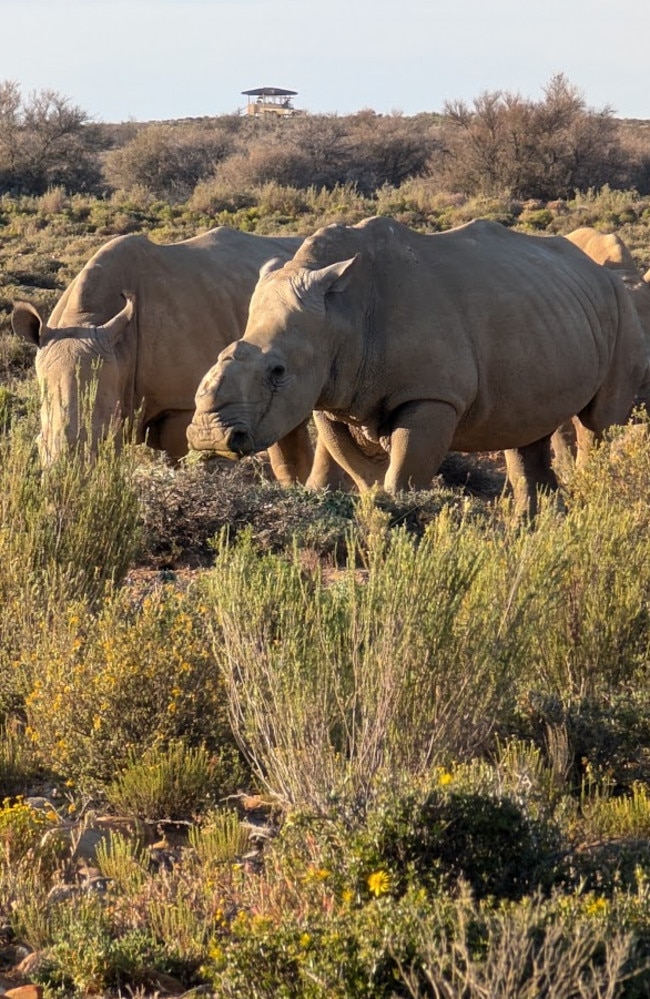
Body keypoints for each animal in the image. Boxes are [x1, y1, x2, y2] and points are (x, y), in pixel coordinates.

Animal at [185, 217, 644, 516]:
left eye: (278, 372)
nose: (210, 437)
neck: (343, 315)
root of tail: (599, 272)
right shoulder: (333, 397)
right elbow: (364, 474)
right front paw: (380, 517)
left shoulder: (431, 395)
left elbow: (404, 471)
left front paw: (400, 525)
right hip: (547, 308)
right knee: (527, 429)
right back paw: (538, 528)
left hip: (621, 308)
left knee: (597, 424)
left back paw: (590, 503)